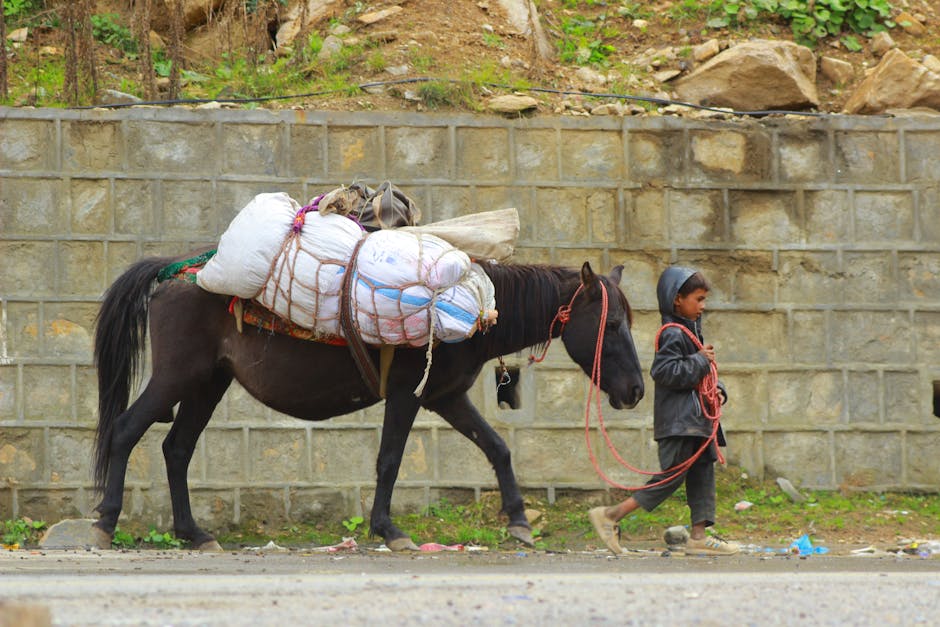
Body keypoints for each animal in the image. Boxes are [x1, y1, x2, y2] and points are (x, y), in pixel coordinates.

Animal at [90, 254, 648, 548]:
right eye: (613, 324)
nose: (636, 392)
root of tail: (174, 274)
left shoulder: (445, 397)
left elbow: (497, 448)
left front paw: (518, 521)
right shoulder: (406, 395)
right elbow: (390, 460)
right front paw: (389, 528)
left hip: (208, 383)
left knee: (176, 449)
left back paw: (192, 532)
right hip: (177, 377)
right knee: (126, 431)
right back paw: (106, 521)